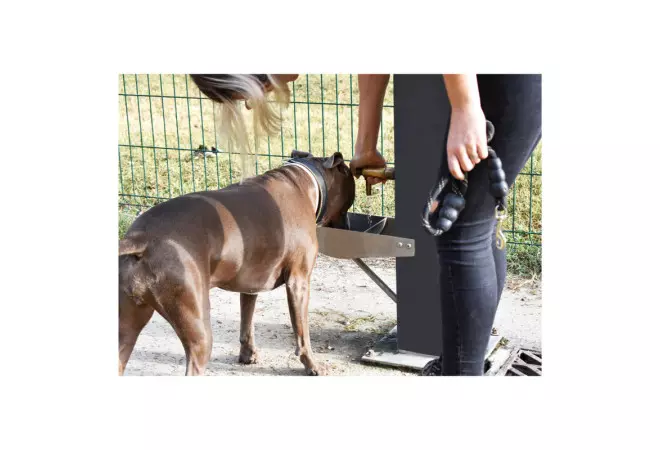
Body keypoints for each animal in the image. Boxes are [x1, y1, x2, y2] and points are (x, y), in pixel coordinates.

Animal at [118, 151, 356, 376]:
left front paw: (247, 354)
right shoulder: (299, 281)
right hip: (197, 326)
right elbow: (302, 333)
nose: (348, 226)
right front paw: (312, 365)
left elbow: (247, 322)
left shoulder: (251, 283)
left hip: (126, 326)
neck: (305, 181)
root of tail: (141, 239)